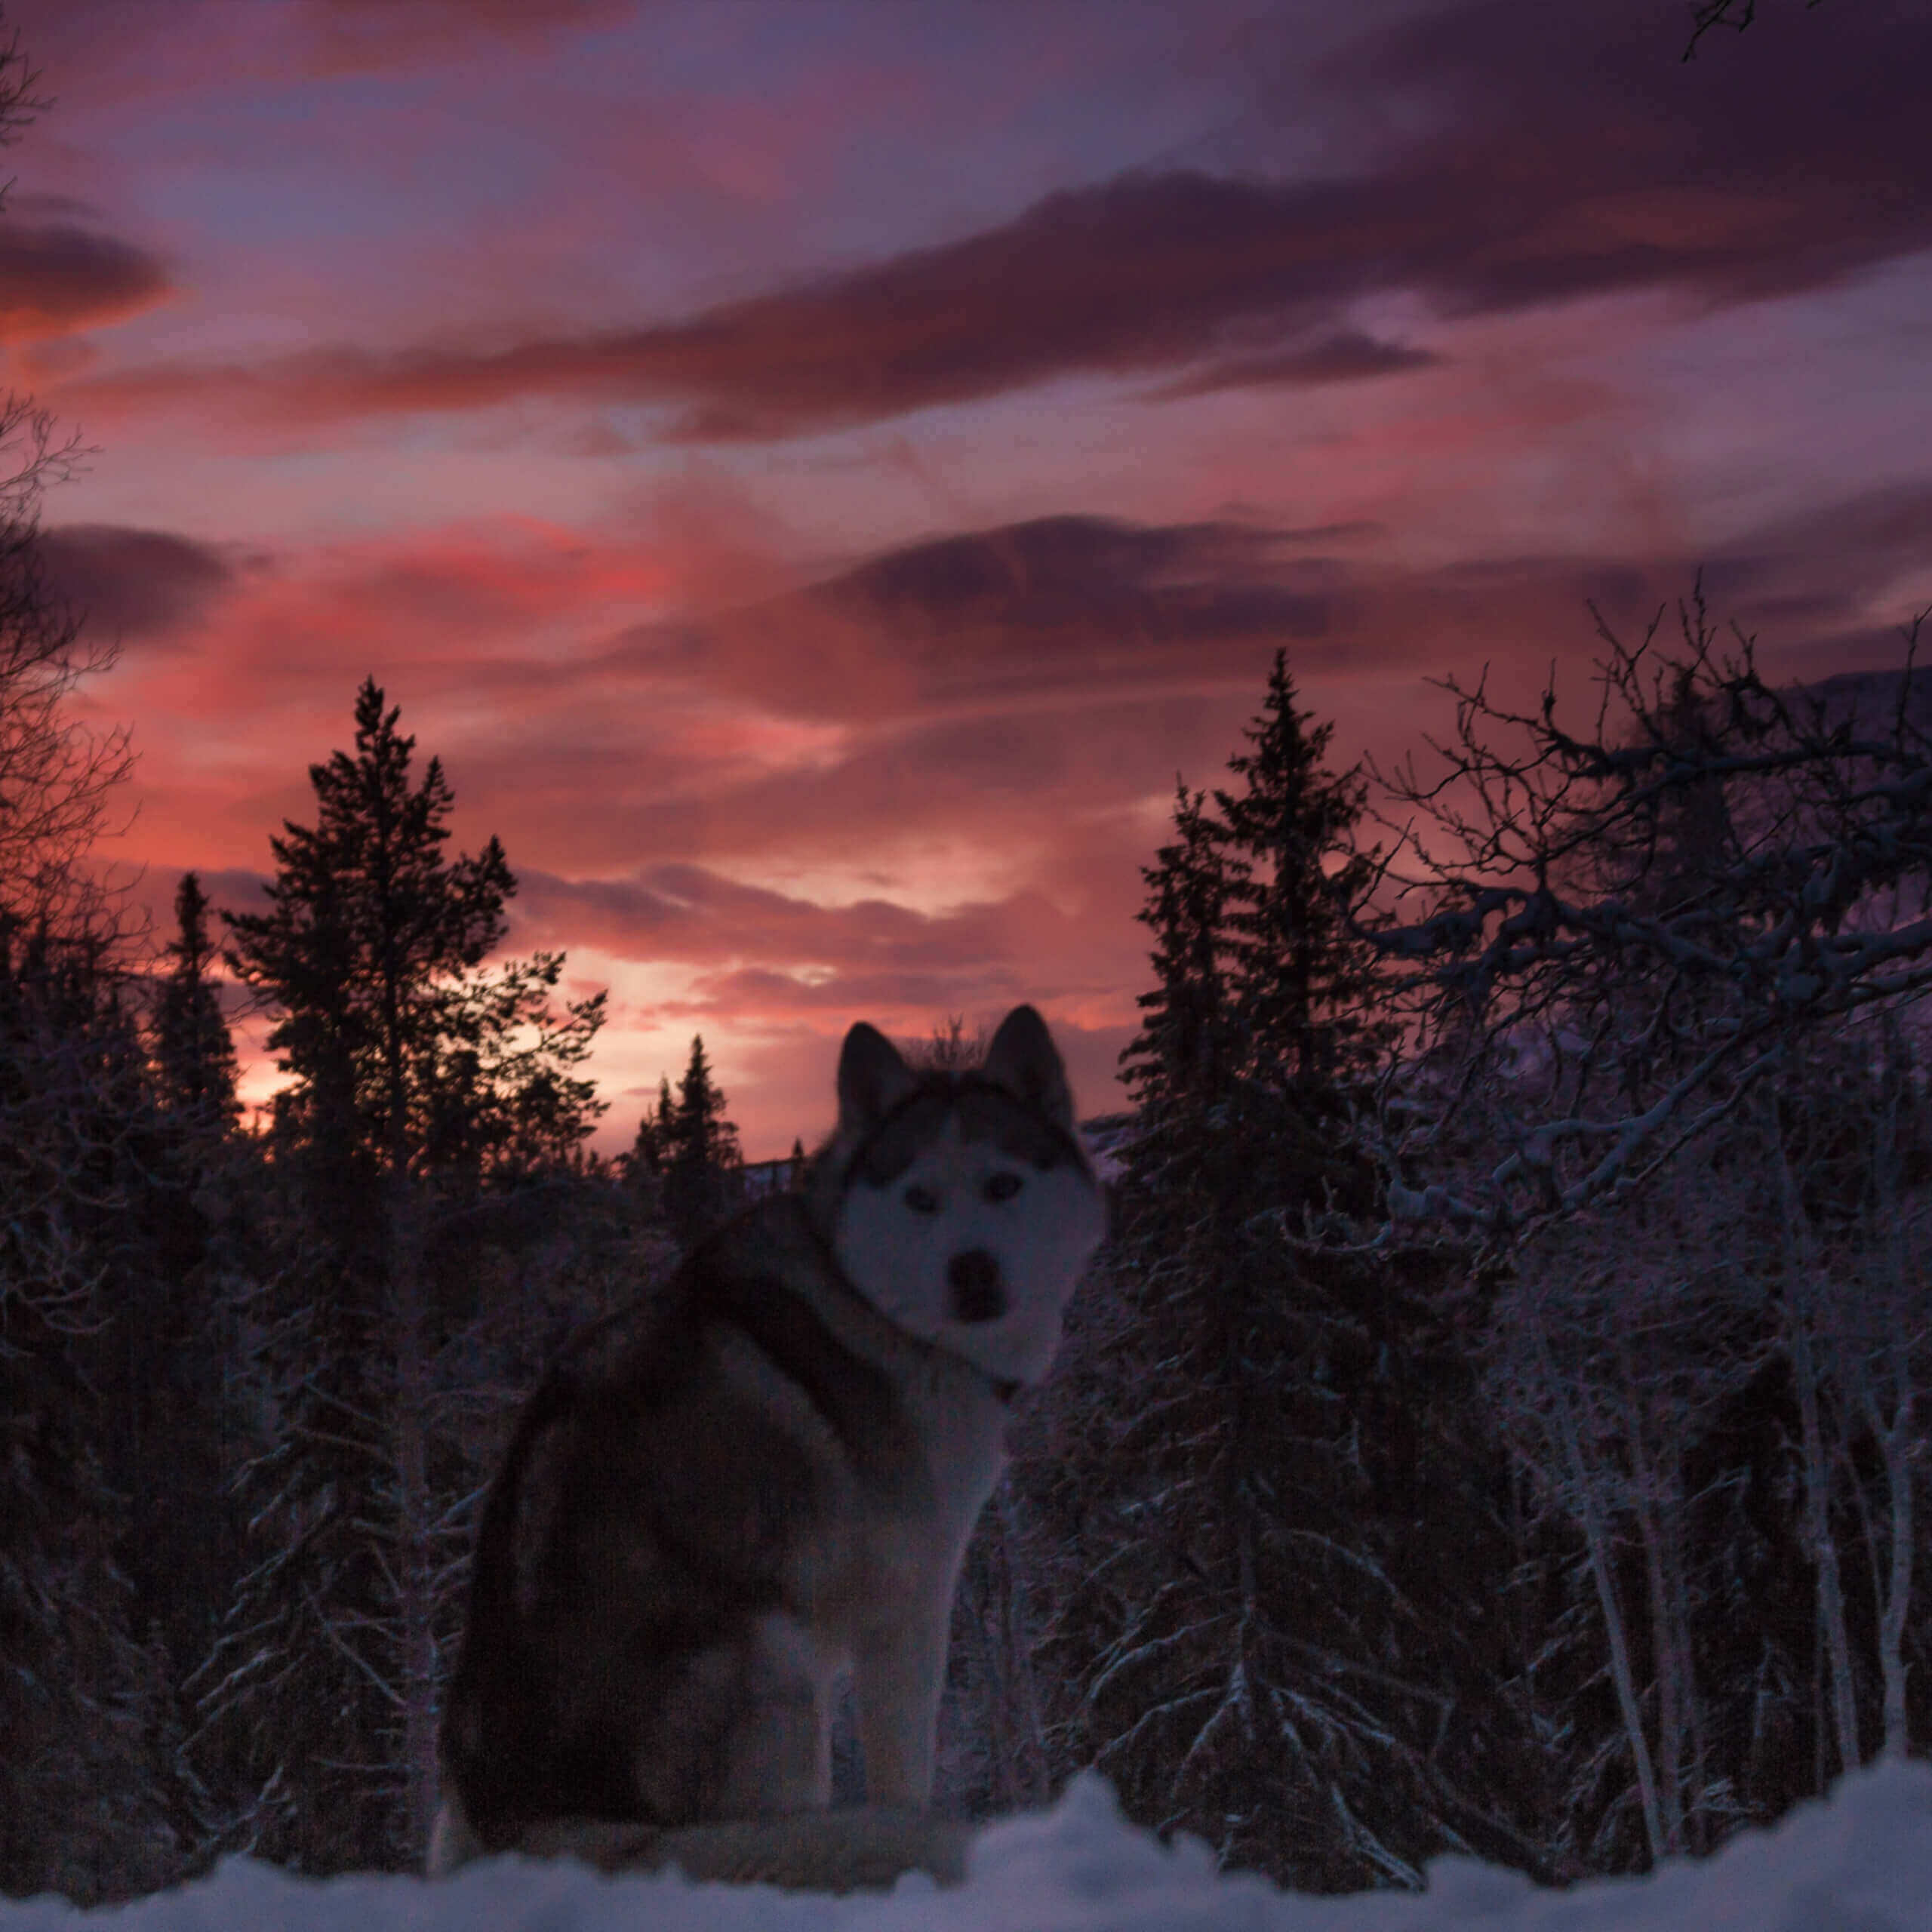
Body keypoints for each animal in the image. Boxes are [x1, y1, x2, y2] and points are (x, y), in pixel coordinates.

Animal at [432, 1004, 1112, 1878]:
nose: (973, 1270)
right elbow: (906, 1776)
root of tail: (523, 1816)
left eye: (1003, 1185)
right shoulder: (909, 1608)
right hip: (781, 1662)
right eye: (921, 1199)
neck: (875, 1307)